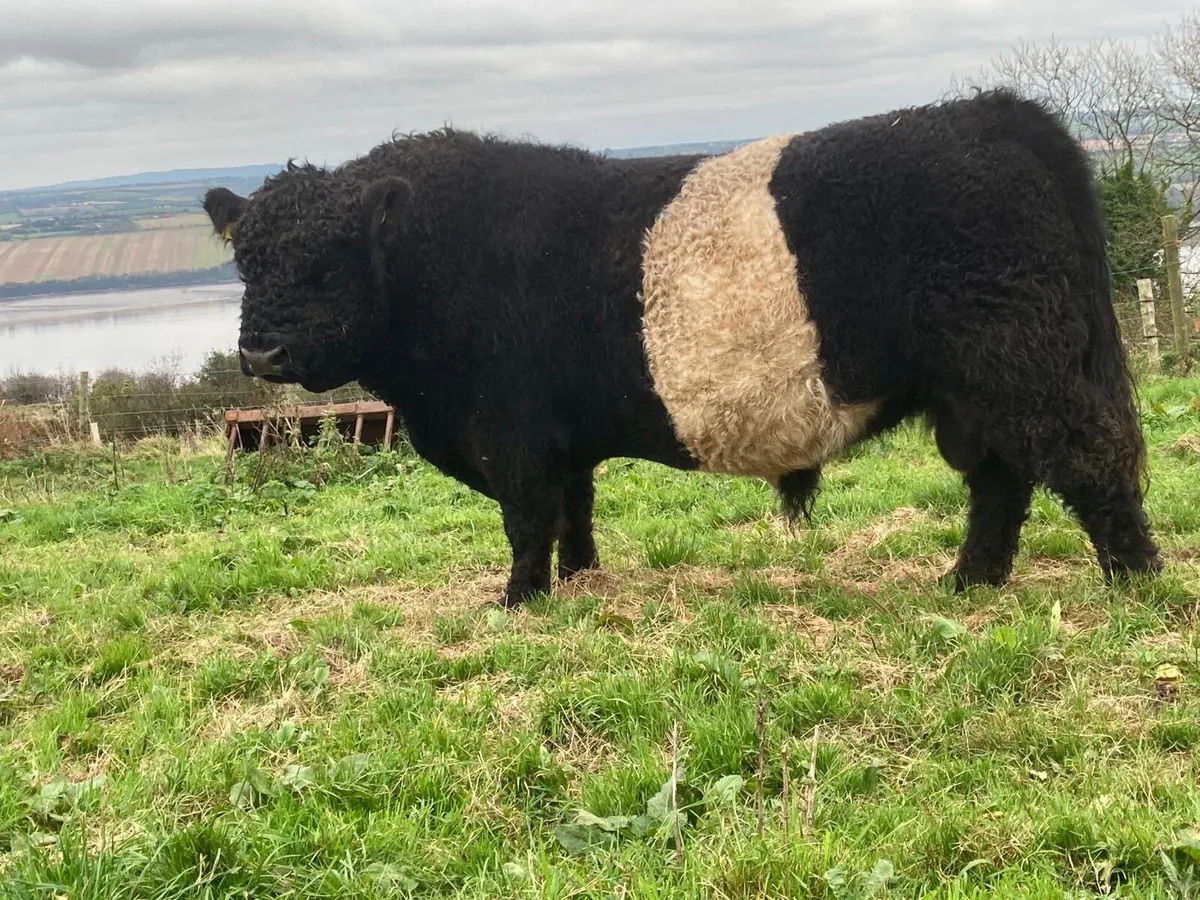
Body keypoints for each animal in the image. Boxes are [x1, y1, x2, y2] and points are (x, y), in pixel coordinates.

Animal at [203, 88, 1163, 608]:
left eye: (327, 266)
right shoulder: (560, 437)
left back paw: (1134, 582)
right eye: (246, 261)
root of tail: (994, 113)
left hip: (1021, 363)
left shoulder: (510, 430)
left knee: (1086, 458)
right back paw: (970, 581)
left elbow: (527, 518)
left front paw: (518, 600)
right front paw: (580, 581)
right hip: (976, 387)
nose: (262, 354)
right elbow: (575, 510)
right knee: (1003, 479)